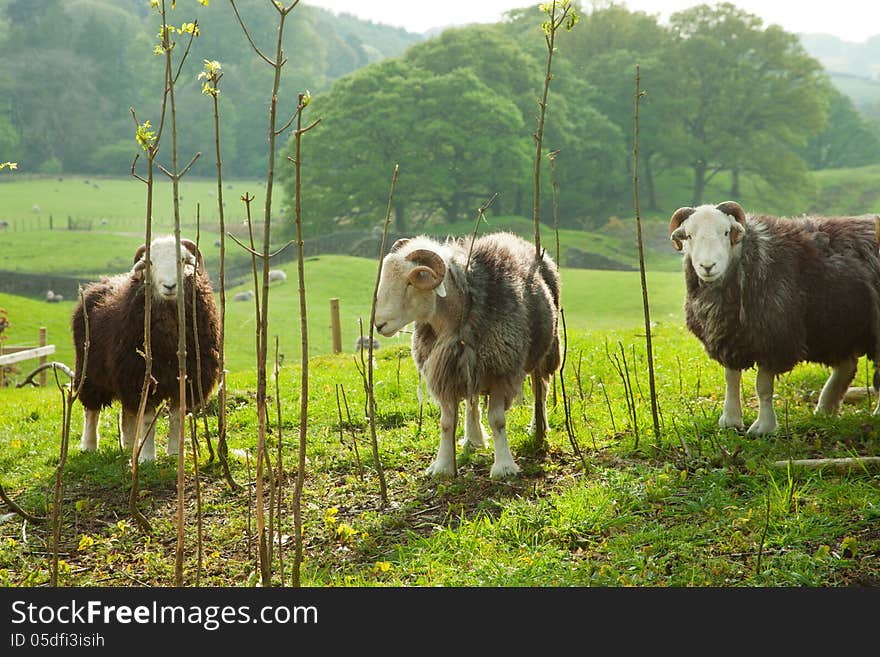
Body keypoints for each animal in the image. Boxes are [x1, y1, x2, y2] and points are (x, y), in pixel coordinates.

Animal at [72, 236, 223, 462]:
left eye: (182, 260)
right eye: (150, 262)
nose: (170, 286)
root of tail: (98, 284)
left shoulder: (185, 381)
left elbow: (176, 417)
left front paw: (174, 453)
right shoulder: (141, 376)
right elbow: (147, 419)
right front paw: (147, 457)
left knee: (127, 413)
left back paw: (128, 445)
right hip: (90, 371)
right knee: (92, 410)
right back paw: (90, 446)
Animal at [374, 233, 560, 480]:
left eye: (411, 282)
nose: (379, 324)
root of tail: (512, 236)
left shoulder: (501, 370)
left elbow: (497, 421)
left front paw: (504, 467)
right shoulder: (444, 372)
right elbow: (446, 423)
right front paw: (442, 466)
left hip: (545, 351)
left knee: (541, 390)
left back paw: (538, 428)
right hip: (469, 365)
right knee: (473, 401)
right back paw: (473, 439)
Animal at [668, 201, 880, 436]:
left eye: (725, 232)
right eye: (689, 235)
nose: (707, 266)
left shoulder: (774, 338)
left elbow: (762, 387)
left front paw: (764, 427)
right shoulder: (729, 337)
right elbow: (731, 380)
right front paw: (730, 420)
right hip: (836, 327)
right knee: (847, 367)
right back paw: (825, 409)